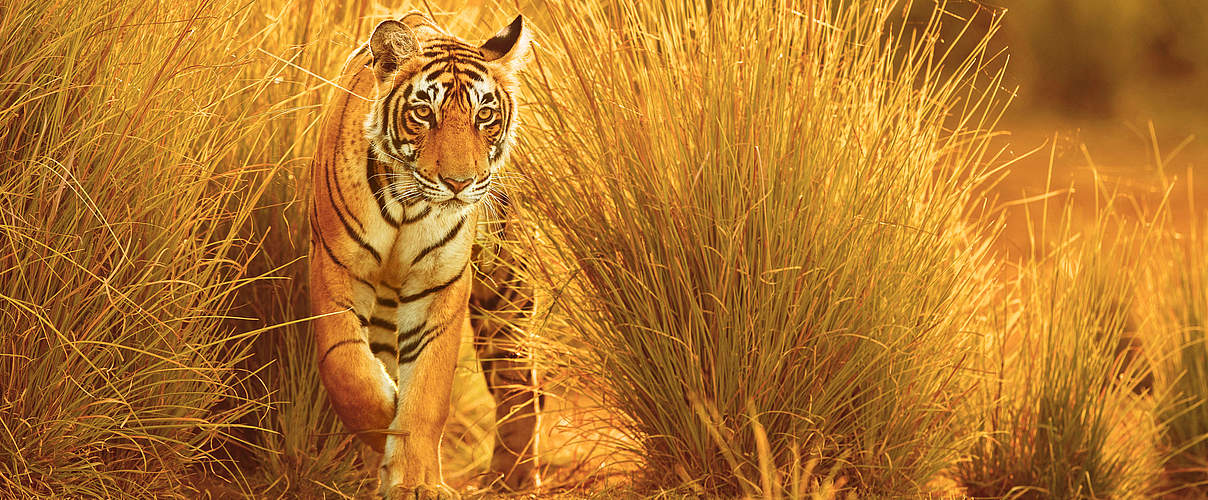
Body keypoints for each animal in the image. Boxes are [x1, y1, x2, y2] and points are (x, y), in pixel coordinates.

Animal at [306, 12, 538, 500]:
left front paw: (416, 481)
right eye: (424, 113)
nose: (459, 183)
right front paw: (383, 420)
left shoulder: (439, 283)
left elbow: (428, 390)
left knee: (518, 378)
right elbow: (346, 367)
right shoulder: (335, 264)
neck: (409, 204)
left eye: (484, 115)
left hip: (506, 291)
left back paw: (513, 475)